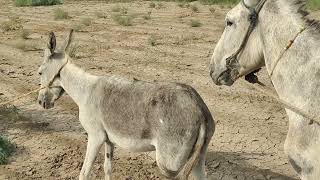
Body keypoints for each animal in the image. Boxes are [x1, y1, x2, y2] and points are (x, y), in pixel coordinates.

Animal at [37, 30, 215, 179]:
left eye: (39, 72)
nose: (40, 102)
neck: (86, 91)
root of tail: (199, 109)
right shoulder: (109, 140)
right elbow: (107, 168)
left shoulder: (95, 137)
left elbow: (84, 173)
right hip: (198, 158)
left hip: (170, 162)